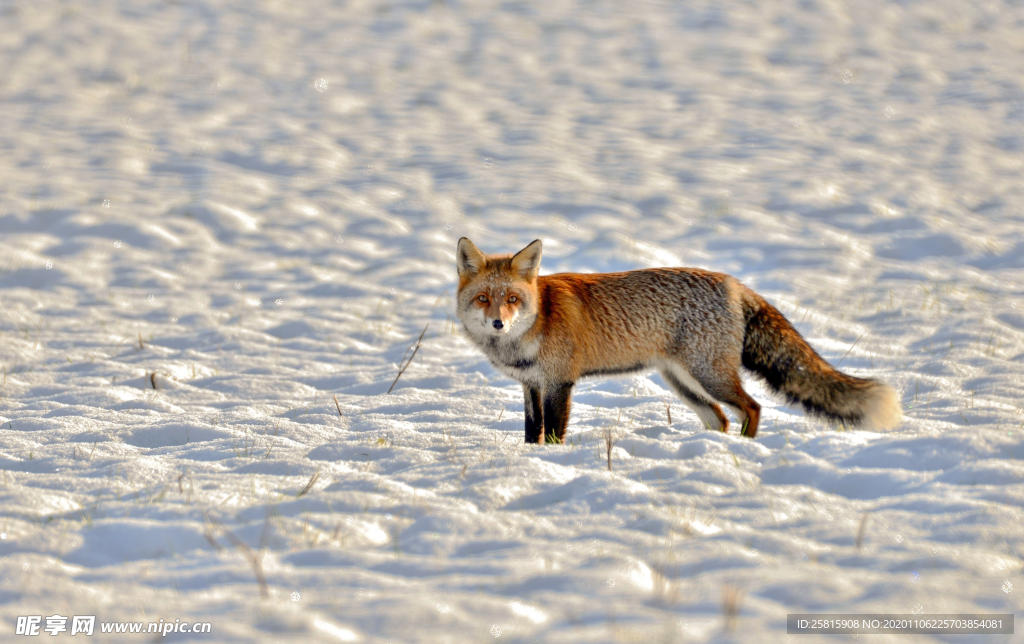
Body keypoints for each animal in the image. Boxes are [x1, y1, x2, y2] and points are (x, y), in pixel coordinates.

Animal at [452, 236, 901, 442]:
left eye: (512, 299)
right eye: (483, 299)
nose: (498, 324)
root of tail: (733, 283)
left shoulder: (559, 383)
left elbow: (552, 436)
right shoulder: (532, 386)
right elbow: (532, 434)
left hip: (708, 376)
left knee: (752, 408)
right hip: (682, 382)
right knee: (720, 417)